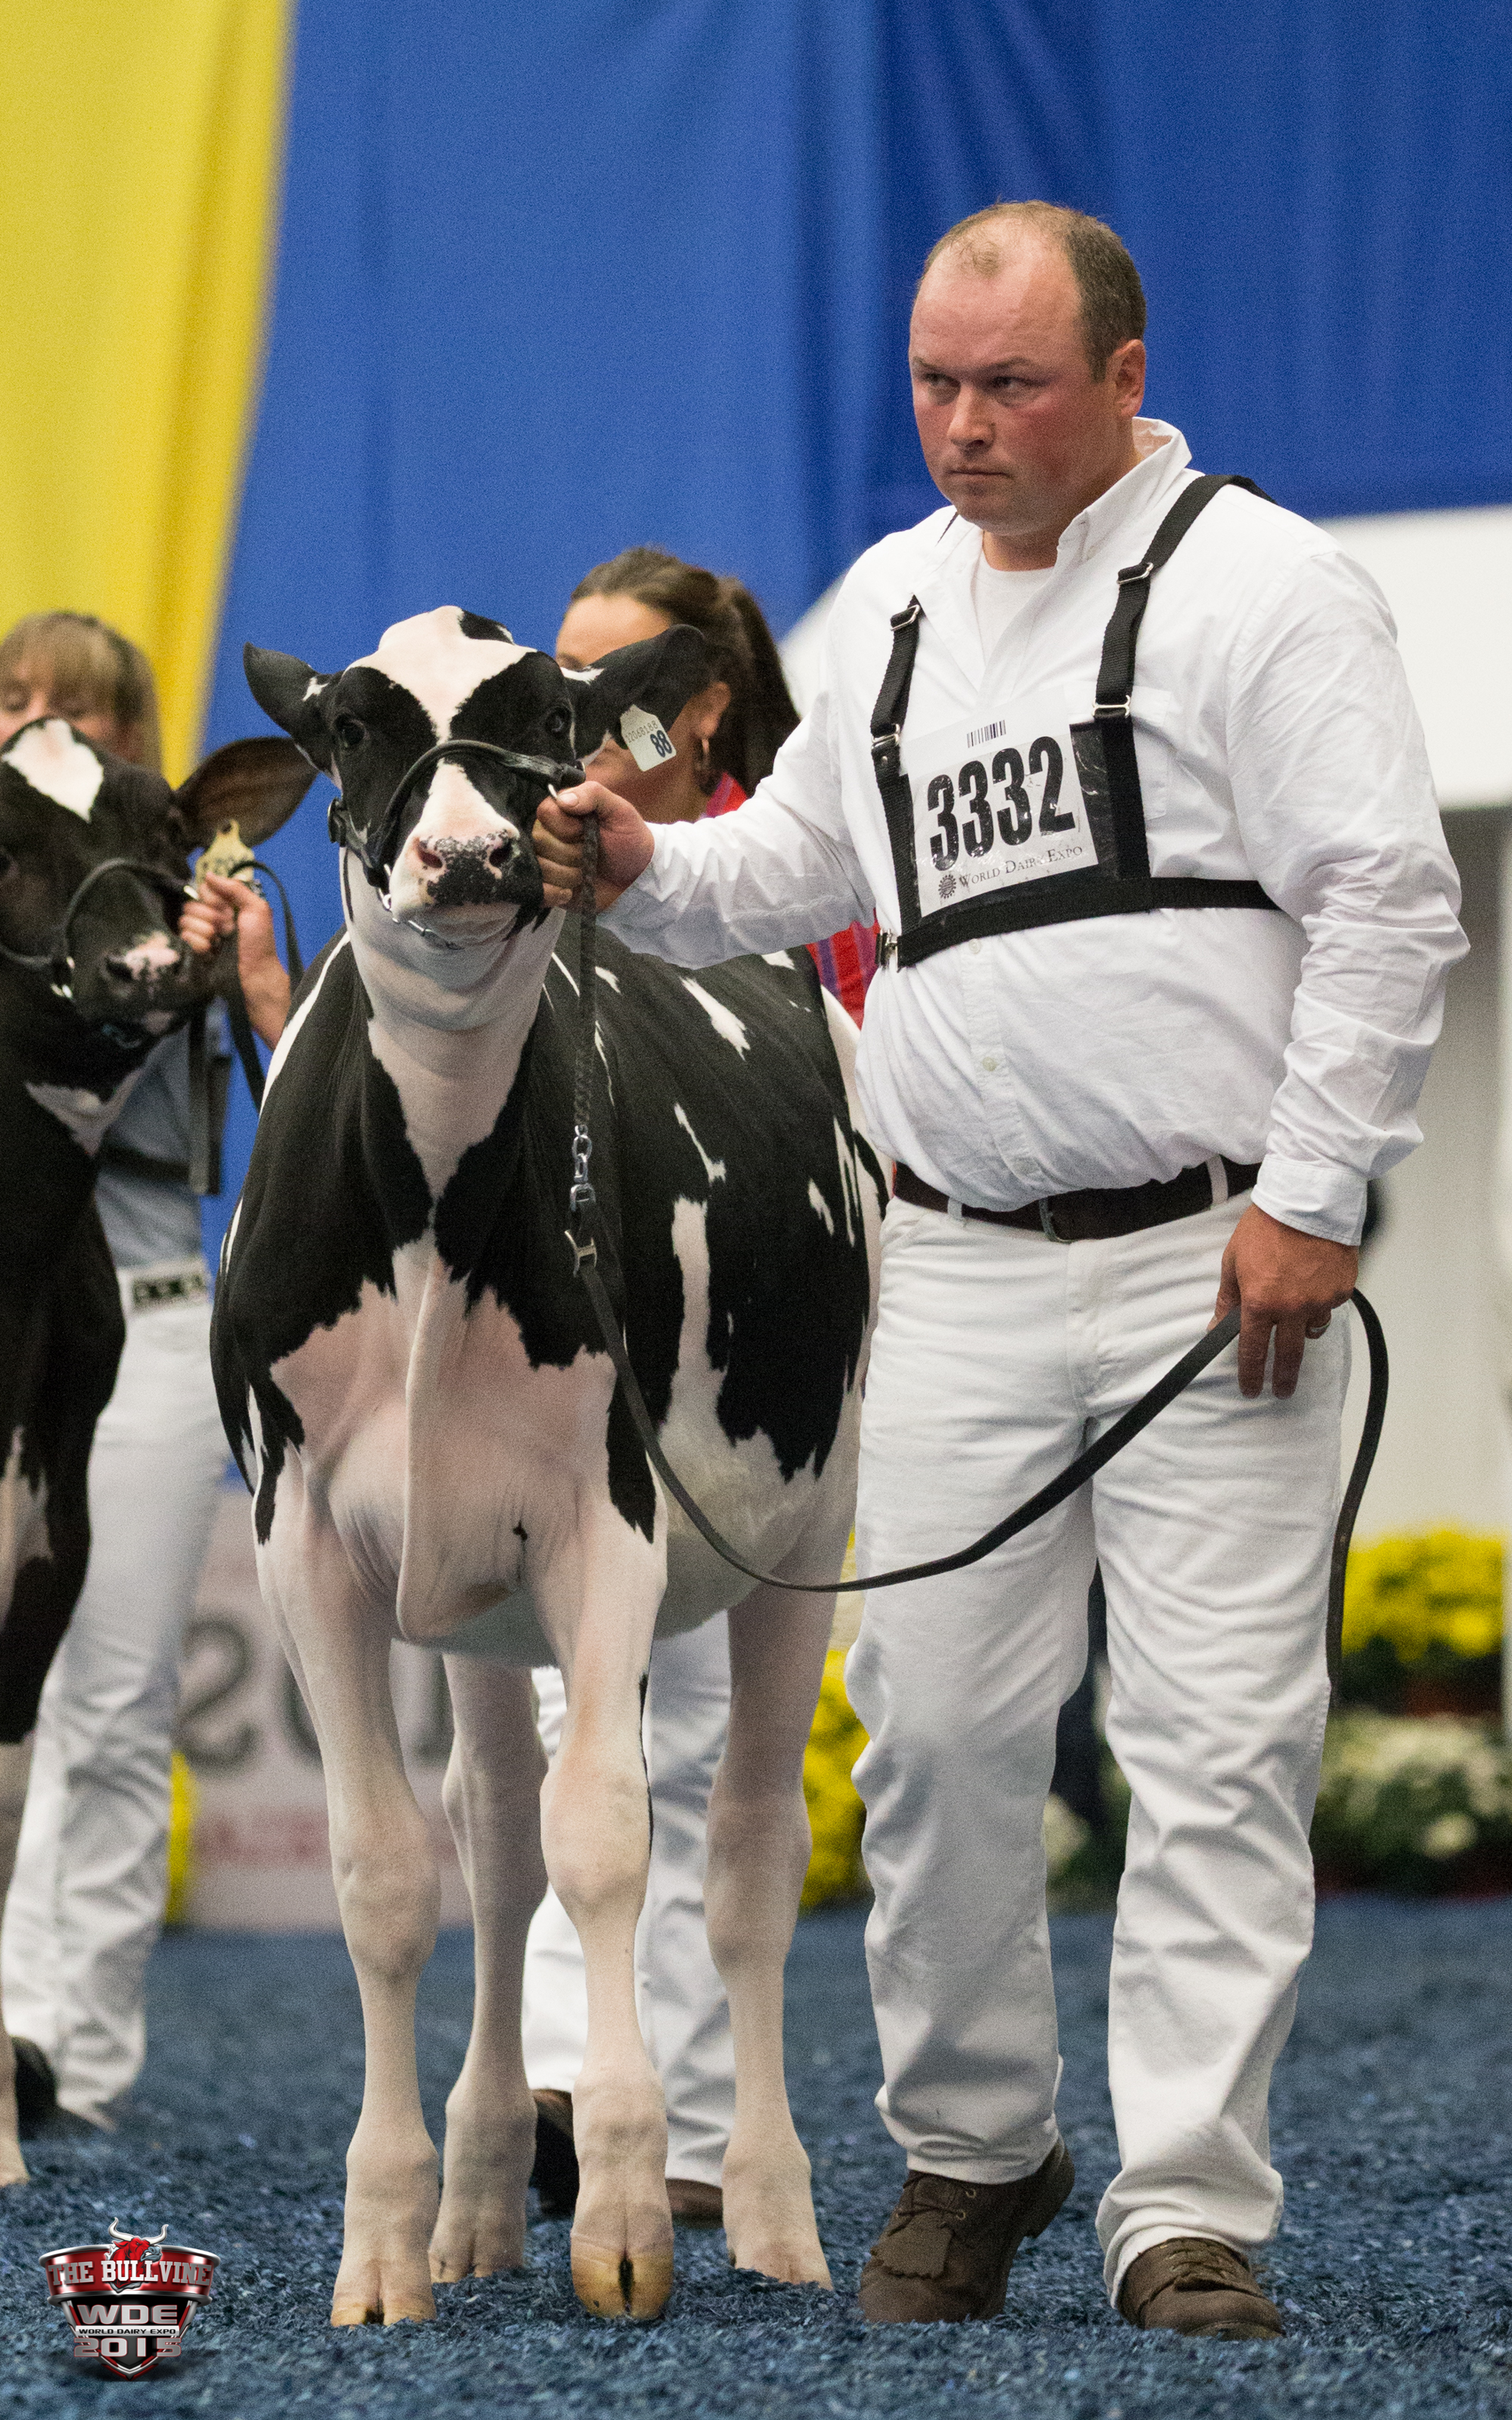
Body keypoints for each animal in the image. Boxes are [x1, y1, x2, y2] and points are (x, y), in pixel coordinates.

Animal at [214, 606, 886, 2325]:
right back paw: (478, 2191)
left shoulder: (610, 1521)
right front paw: (387, 2243)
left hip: (809, 1531)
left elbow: (611, 1842)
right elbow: (391, 1875)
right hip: (472, 1597)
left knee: (743, 1861)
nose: (470, 854)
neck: (440, 1193)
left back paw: (770, 2212)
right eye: (352, 726)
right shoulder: (303, 1538)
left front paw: (628, 2218)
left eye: (549, 723)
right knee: (497, 1848)